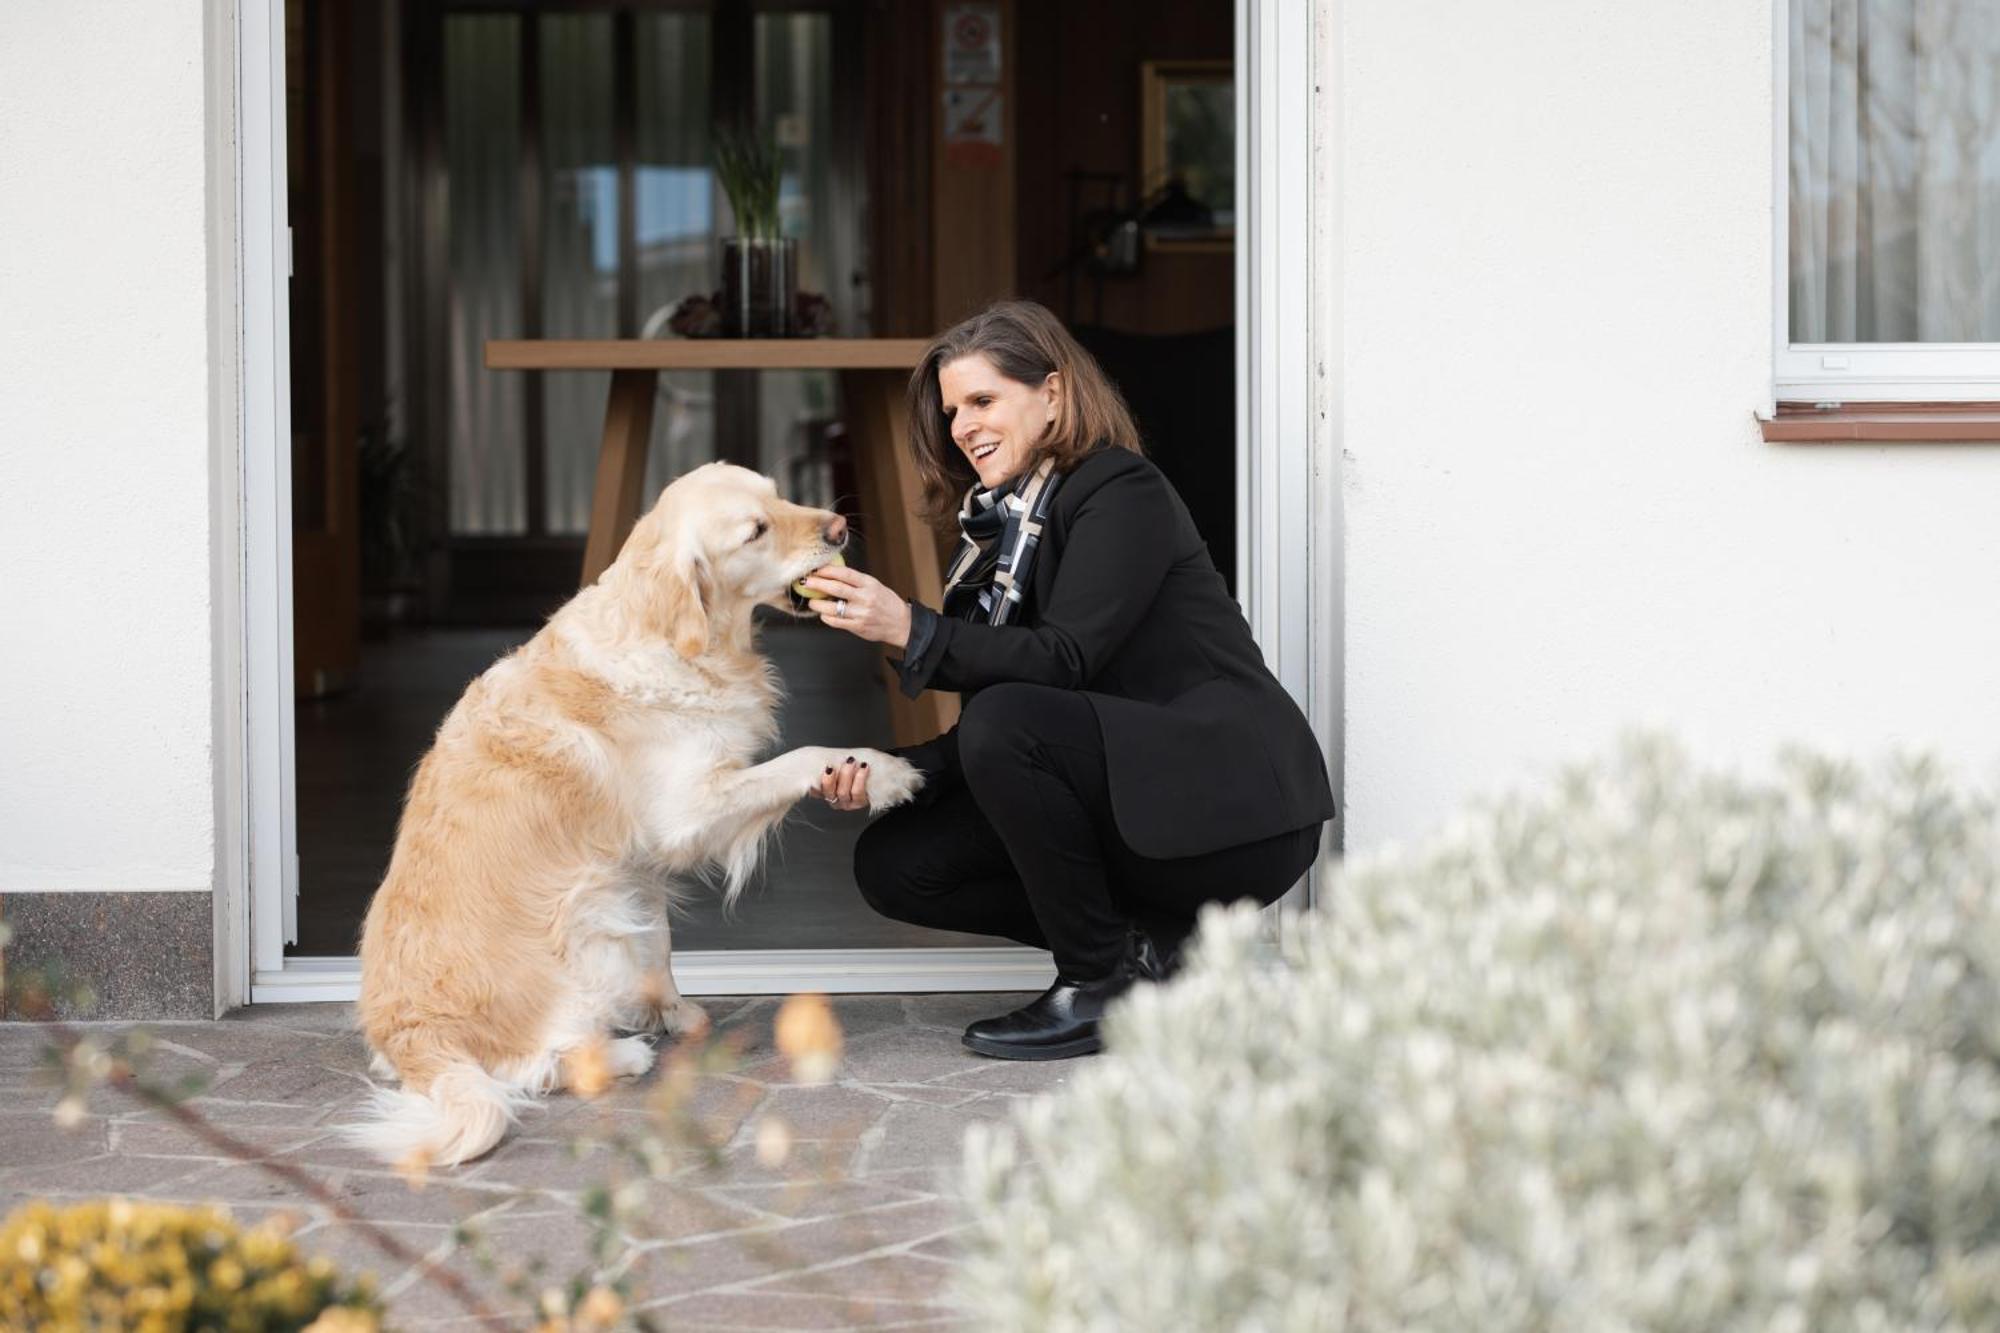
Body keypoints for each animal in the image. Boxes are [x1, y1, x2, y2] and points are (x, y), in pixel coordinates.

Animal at [350, 464, 920, 1160]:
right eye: (755, 530)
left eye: (779, 492)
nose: (839, 528)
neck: (673, 637)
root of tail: (411, 1031)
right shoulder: (686, 811)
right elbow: (804, 756)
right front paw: (886, 772)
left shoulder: (637, 866)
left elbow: (659, 945)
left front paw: (673, 1012)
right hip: (584, 909)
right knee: (536, 1066)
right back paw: (620, 1055)